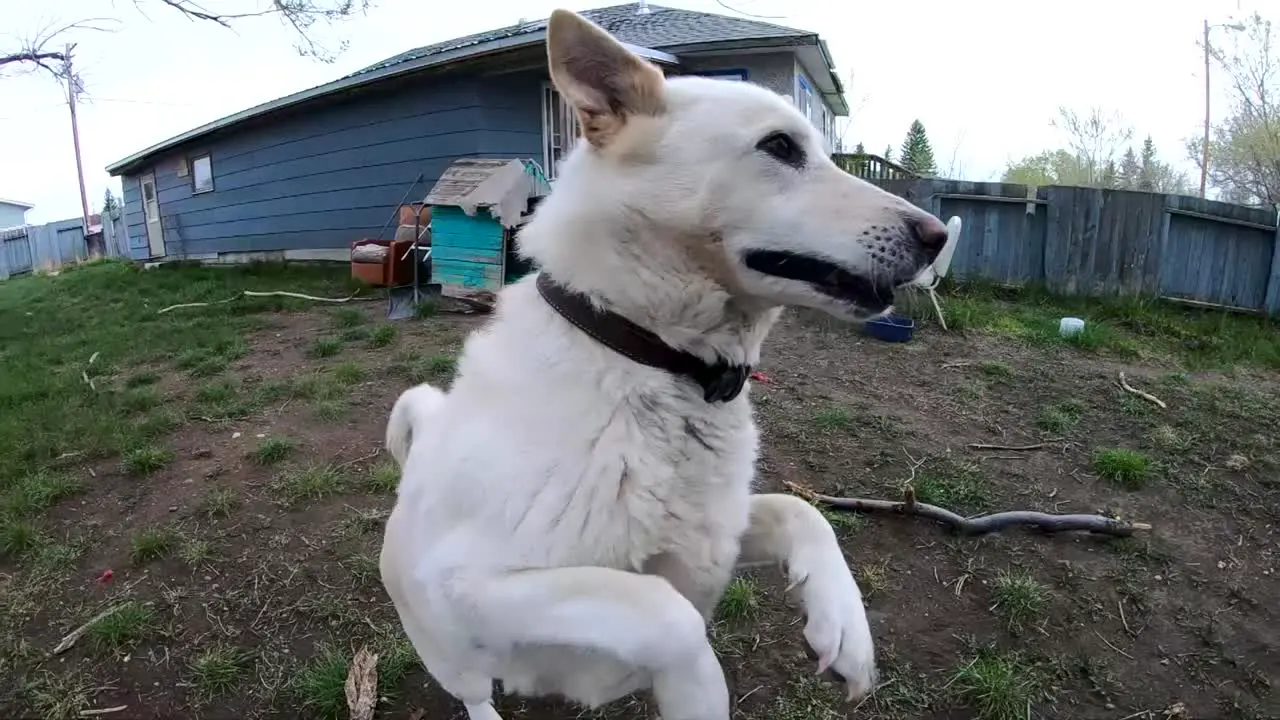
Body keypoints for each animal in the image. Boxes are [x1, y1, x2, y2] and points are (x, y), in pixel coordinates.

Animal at [378, 9, 952, 717]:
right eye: (780, 147)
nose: (938, 237)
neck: (647, 356)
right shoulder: (473, 580)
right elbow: (674, 616)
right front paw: (699, 679)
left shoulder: (717, 535)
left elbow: (804, 512)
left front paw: (844, 626)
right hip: (447, 643)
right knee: (474, 689)